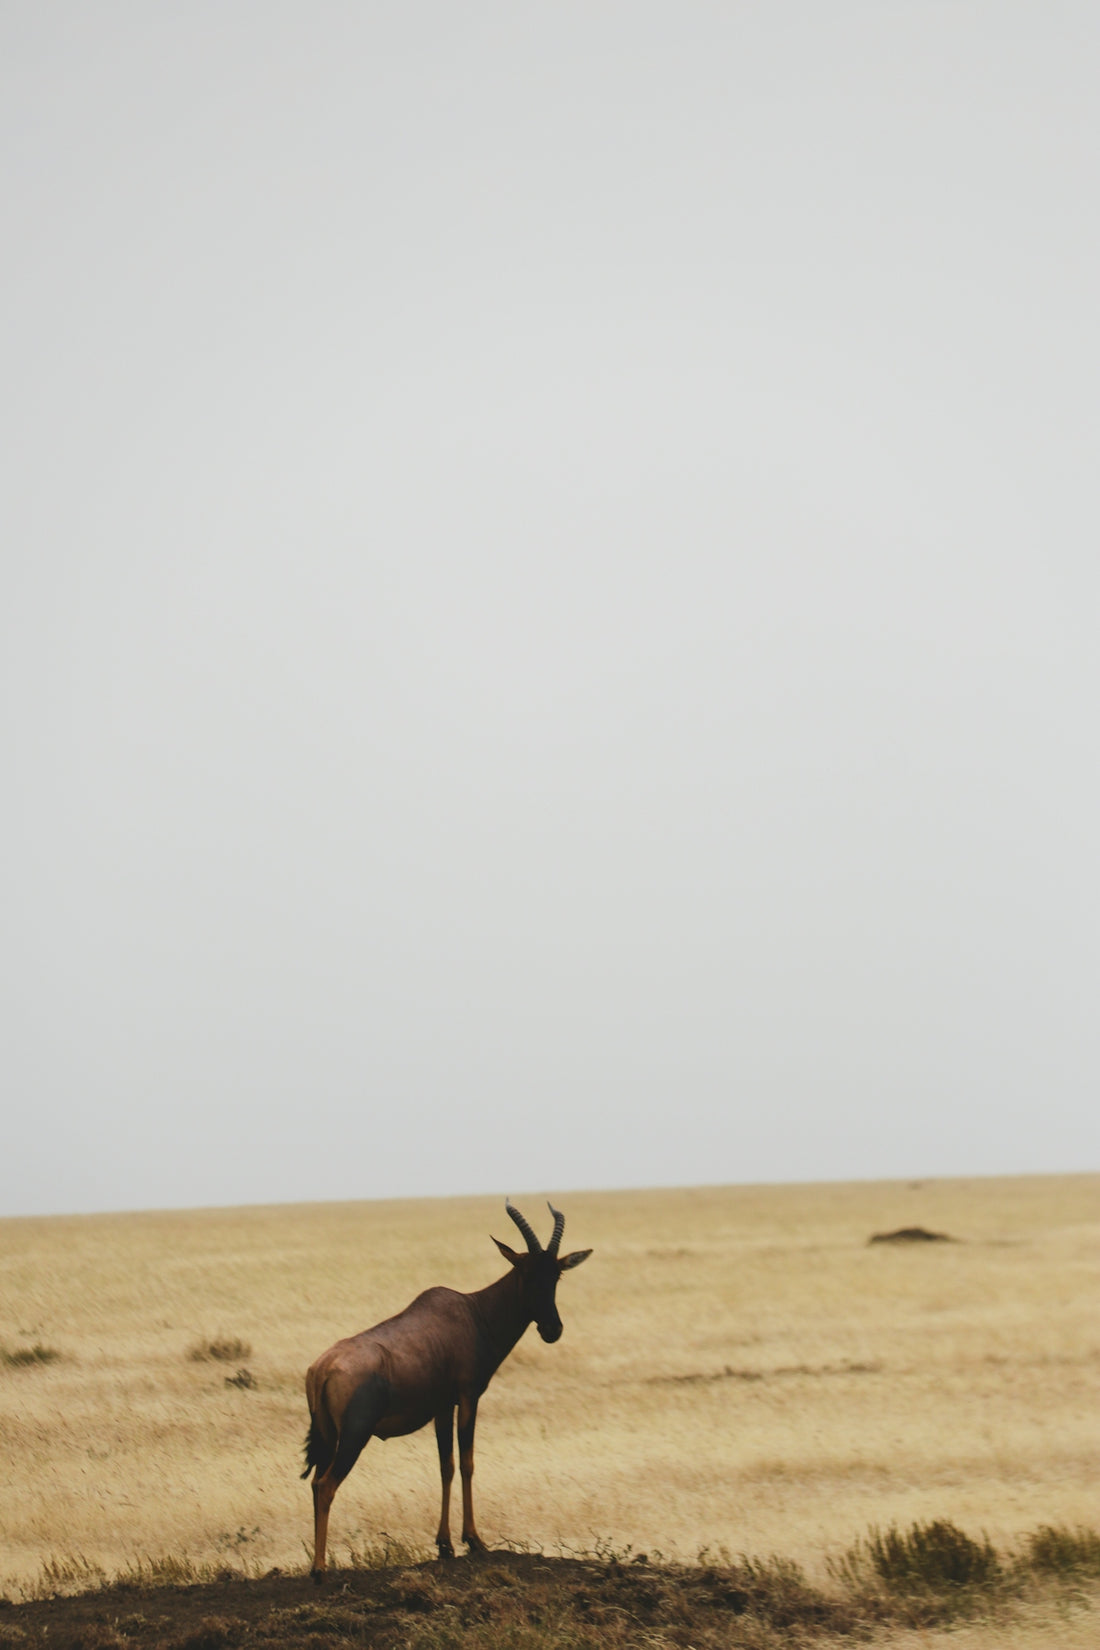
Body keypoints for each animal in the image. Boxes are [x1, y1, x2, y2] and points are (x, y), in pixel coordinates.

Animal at [302, 1199, 591, 1580]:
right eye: (526, 1273)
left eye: (556, 1274)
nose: (552, 1329)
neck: (472, 1312)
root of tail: (322, 1368)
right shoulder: (469, 1397)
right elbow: (467, 1462)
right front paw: (474, 1540)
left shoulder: (443, 1407)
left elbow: (446, 1466)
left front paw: (445, 1545)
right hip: (353, 1436)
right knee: (326, 1486)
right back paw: (320, 1570)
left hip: (327, 1437)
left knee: (314, 1483)